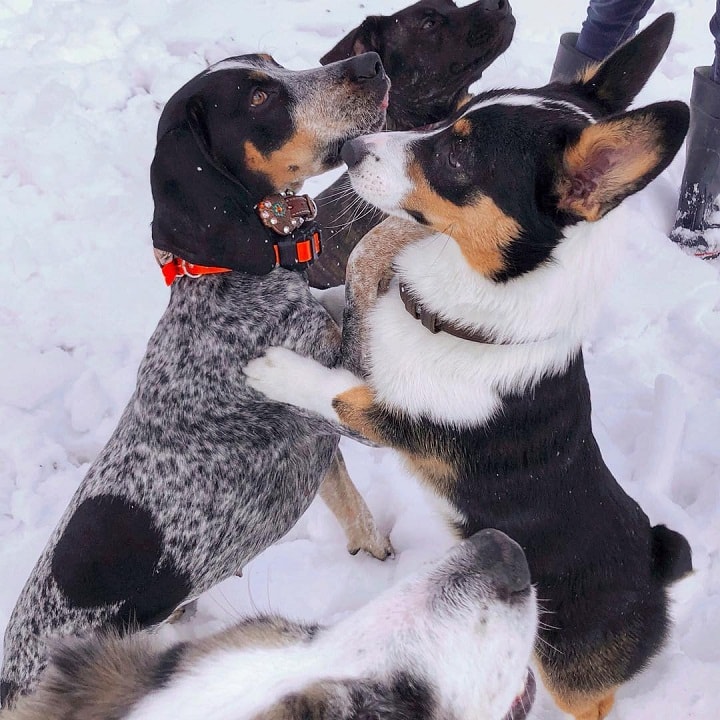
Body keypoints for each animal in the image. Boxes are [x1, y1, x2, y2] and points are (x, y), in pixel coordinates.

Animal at [1, 52, 394, 708]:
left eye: (273, 63)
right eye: (258, 98)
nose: (370, 62)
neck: (234, 279)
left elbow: (349, 502)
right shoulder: (349, 391)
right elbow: (367, 265)